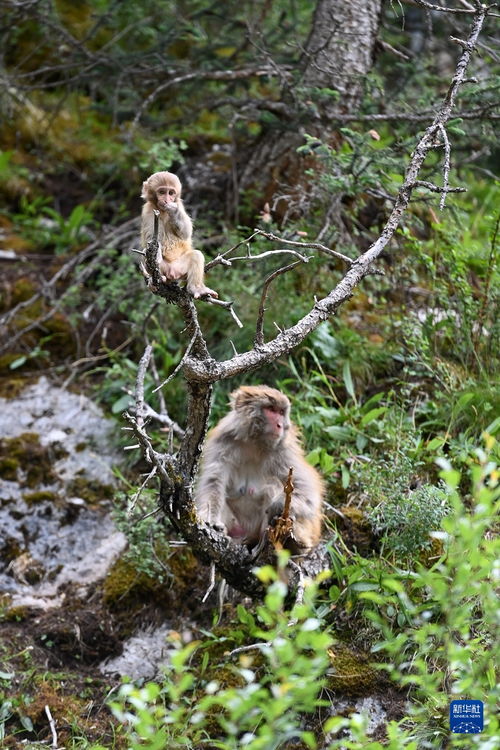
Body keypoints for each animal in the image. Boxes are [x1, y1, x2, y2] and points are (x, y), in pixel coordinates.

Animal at [142, 170, 218, 300]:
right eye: (162, 192)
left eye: (171, 193)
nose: (167, 199)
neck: (162, 211)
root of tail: (173, 272)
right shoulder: (148, 212)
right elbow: (151, 240)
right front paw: (157, 255)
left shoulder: (179, 205)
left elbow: (186, 233)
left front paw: (172, 210)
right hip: (164, 268)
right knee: (145, 253)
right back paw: (157, 278)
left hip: (181, 268)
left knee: (196, 255)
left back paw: (196, 288)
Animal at [195, 388, 324, 552]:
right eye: (271, 409)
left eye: (281, 412)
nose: (280, 425)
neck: (255, 443)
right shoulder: (222, 444)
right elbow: (213, 483)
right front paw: (211, 521)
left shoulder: (284, 452)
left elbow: (307, 491)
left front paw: (277, 505)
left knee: (273, 485)